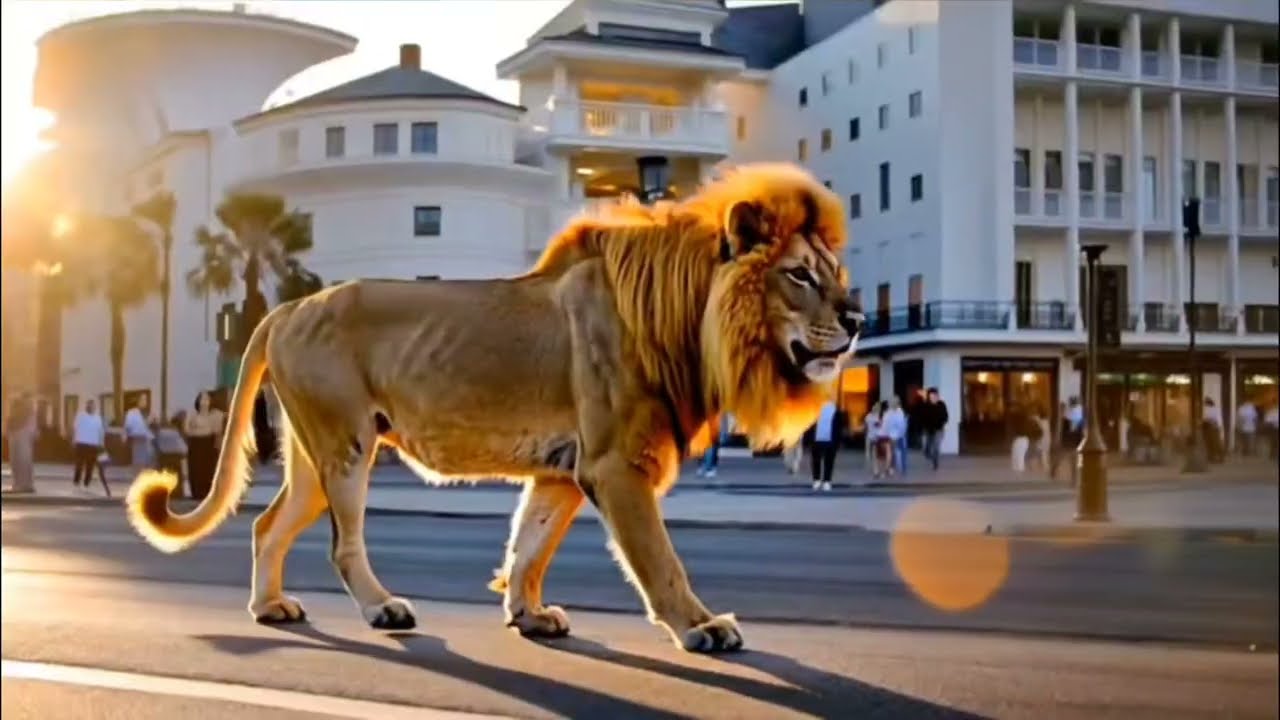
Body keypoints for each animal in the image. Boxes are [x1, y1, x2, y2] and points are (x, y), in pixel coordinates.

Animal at [126, 162, 862, 653]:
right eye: (799, 275)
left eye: (836, 274)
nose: (857, 319)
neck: (689, 324)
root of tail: (284, 308)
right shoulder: (614, 465)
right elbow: (658, 558)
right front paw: (701, 626)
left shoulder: (566, 470)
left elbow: (530, 544)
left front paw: (527, 615)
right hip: (345, 447)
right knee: (341, 543)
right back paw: (383, 611)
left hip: (312, 455)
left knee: (265, 525)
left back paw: (269, 607)